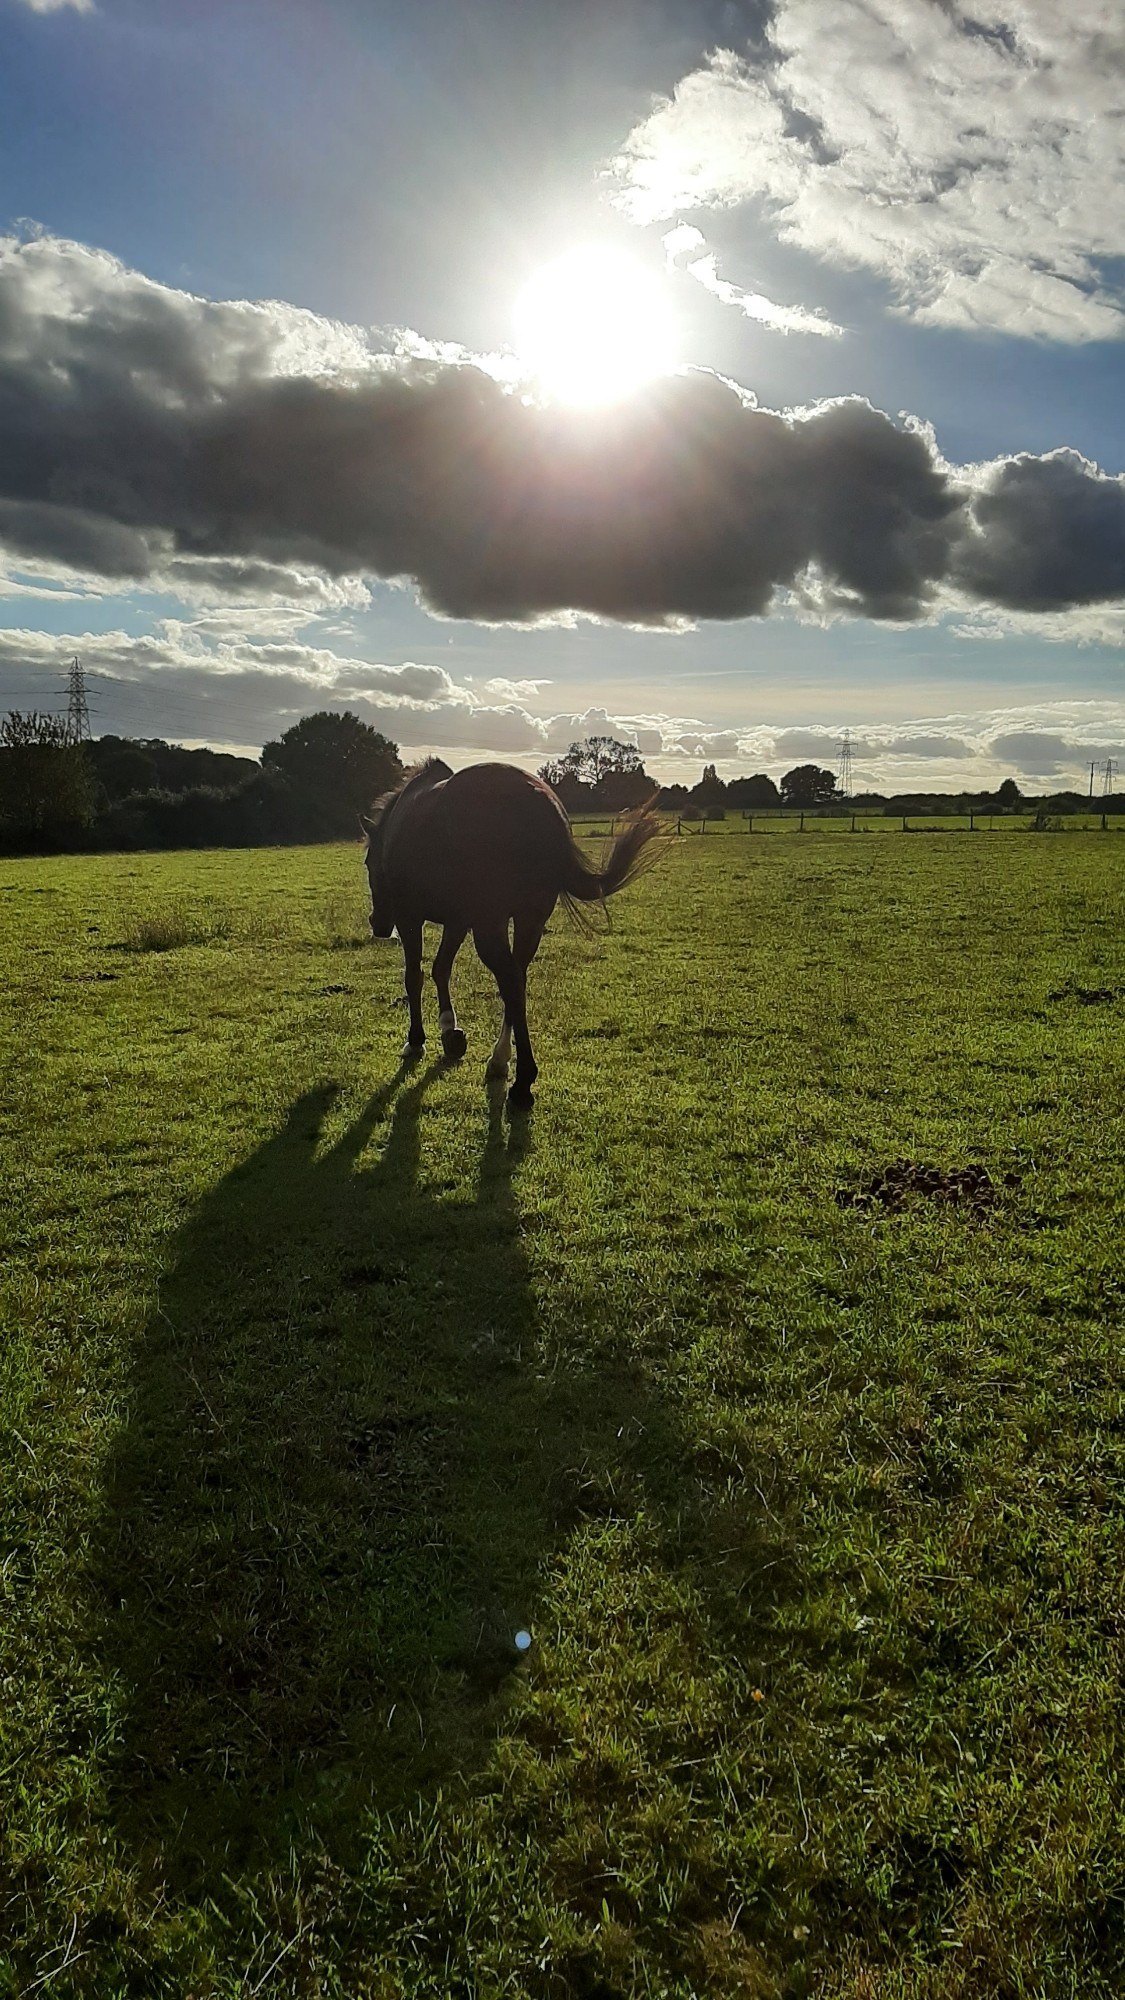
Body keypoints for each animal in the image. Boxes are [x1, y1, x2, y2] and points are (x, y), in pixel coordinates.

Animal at [358, 760, 660, 1112]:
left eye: (368, 863)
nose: (378, 924)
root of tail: (542, 808)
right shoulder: (459, 920)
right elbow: (441, 969)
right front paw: (450, 1031)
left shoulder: (412, 918)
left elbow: (414, 976)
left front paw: (416, 1040)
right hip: (528, 921)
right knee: (516, 982)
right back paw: (501, 1061)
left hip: (492, 925)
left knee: (511, 982)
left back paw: (522, 1083)